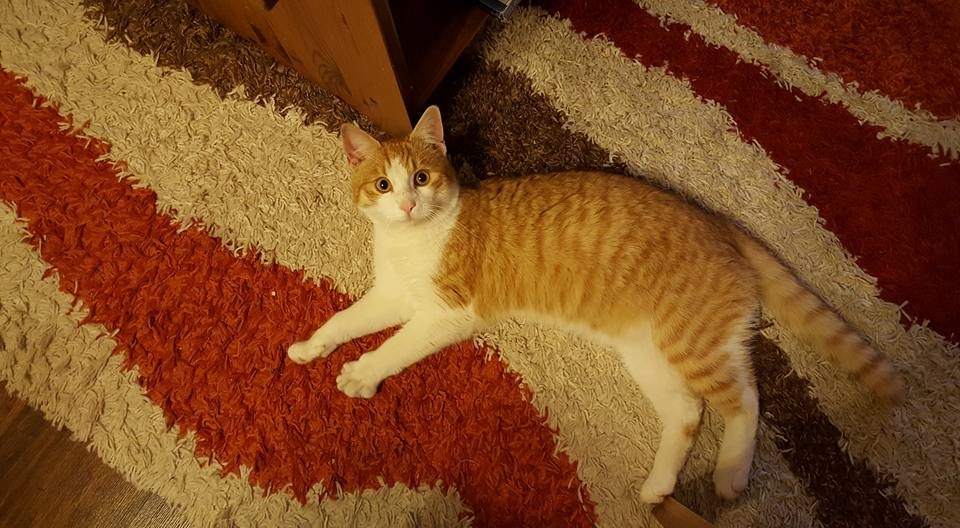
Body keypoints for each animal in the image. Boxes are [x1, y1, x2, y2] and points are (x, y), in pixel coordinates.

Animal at [287, 105, 904, 503]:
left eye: (420, 177)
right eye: (383, 186)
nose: (410, 204)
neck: (415, 240)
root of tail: (715, 221)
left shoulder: (445, 314)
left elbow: (395, 346)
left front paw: (361, 373)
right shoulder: (394, 295)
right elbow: (346, 317)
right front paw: (312, 346)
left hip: (691, 344)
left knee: (746, 401)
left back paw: (730, 476)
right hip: (651, 353)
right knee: (688, 412)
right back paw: (658, 488)